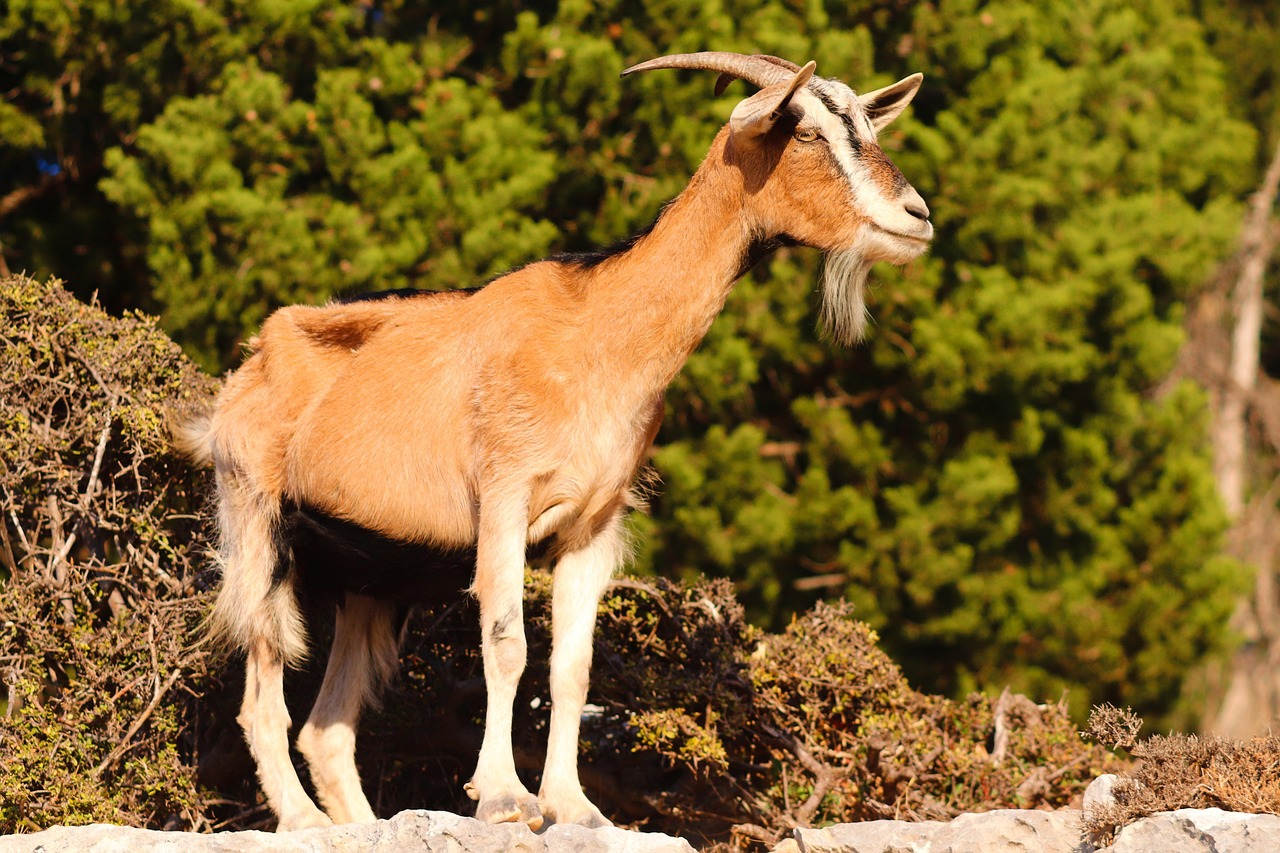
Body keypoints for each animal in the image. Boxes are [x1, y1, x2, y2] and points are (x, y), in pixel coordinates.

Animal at [178, 51, 933, 832]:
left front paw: (575, 805)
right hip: (257, 518)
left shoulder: (594, 524)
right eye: (804, 130)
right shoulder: (505, 495)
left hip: (374, 579)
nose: (917, 217)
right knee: (263, 688)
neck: (600, 332)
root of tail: (250, 366)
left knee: (327, 728)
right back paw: (302, 820)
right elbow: (507, 643)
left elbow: (572, 667)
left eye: (865, 122)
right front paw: (505, 798)